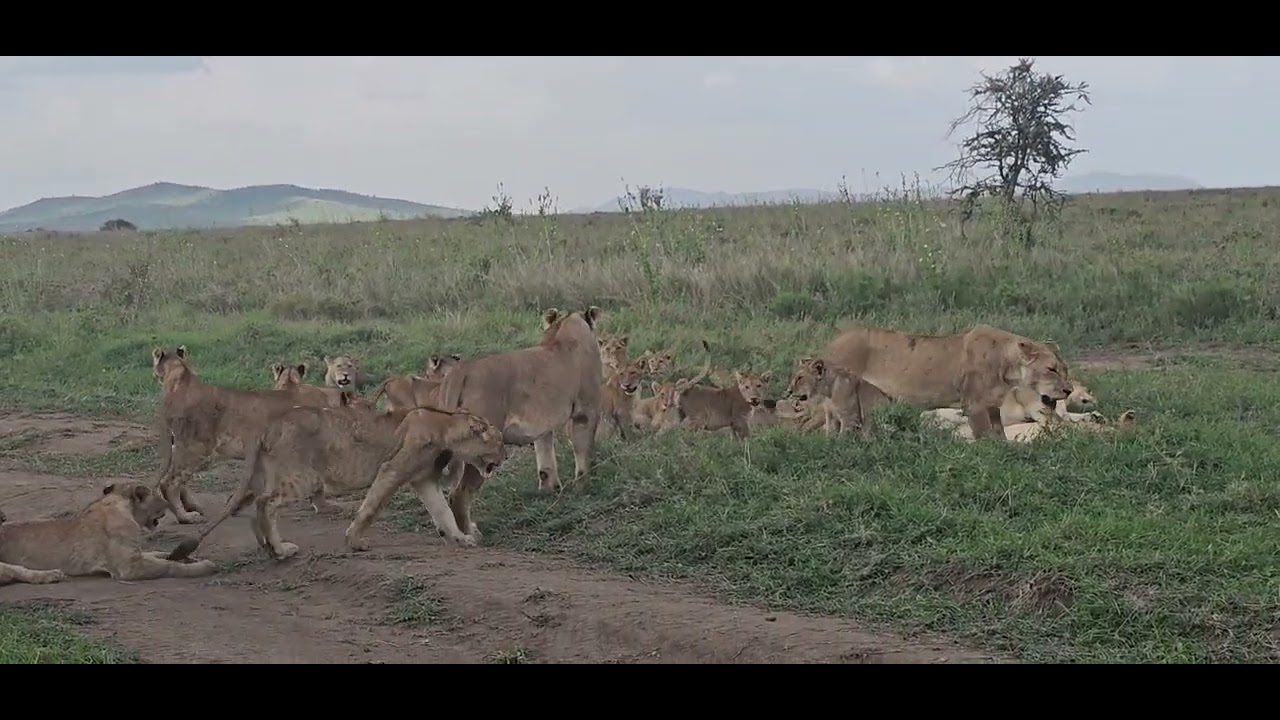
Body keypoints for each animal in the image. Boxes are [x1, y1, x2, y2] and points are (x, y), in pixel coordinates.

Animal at [0, 481, 218, 585]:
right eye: (156, 496)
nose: (167, 503)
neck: (116, 502)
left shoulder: (136, 555)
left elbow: (159, 554)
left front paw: (187, 556)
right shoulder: (130, 567)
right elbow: (170, 567)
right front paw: (206, 566)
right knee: (14, 572)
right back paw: (51, 575)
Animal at [151, 345, 350, 524]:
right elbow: (318, 484)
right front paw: (326, 507)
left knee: (177, 481)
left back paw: (192, 508)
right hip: (197, 446)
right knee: (169, 483)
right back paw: (186, 517)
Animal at [167, 400, 508, 563]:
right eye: (499, 441)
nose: (506, 456)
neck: (447, 427)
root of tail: (272, 423)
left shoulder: (423, 480)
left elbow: (443, 512)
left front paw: (461, 538)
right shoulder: (392, 470)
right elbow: (371, 507)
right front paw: (355, 542)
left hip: (268, 473)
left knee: (252, 508)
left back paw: (269, 547)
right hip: (303, 477)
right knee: (267, 504)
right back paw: (281, 550)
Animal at [436, 306, 603, 535]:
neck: (565, 327)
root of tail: (459, 373)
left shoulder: (543, 424)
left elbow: (545, 459)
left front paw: (549, 490)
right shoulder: (585, 412)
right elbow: (583, 453)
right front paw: (583, 489)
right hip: (482, 449)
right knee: (459, 494)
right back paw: (470, 535)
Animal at [817, 323, 1073, 441]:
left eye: (1065, 370)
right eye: (1051, 369)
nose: (1069, 391)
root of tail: (833, 341)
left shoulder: (992, 406)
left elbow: (999, 433)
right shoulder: (974, 405)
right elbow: (984, 437)